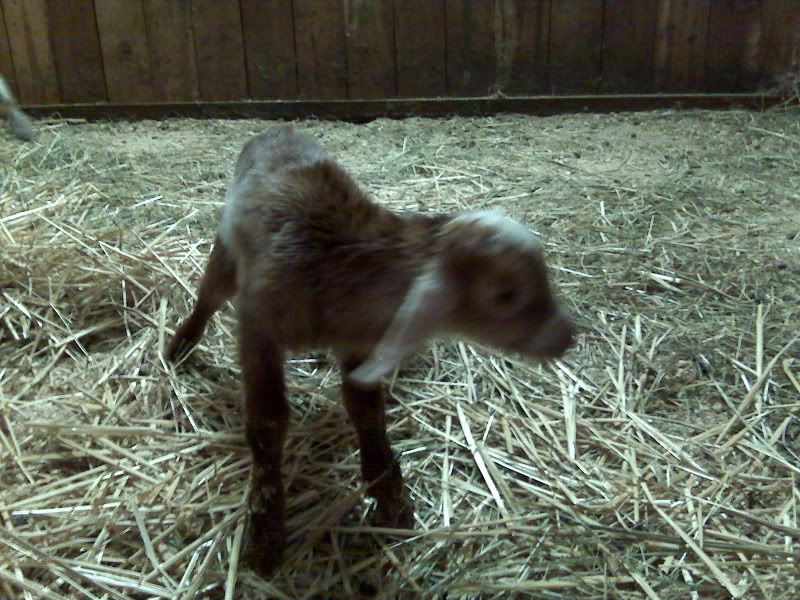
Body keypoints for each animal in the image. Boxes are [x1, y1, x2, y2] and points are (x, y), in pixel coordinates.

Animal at [167, 126, 575, 573]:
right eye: (506, 294)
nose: (566, 336)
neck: (337, 265)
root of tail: (279, 129)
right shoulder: (259, 329)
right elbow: (269, 421)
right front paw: (266, 527)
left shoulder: (358, 342)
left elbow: (366, 408)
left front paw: (389, 491)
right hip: (227, 251)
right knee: (210, 293)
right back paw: (179, 344)